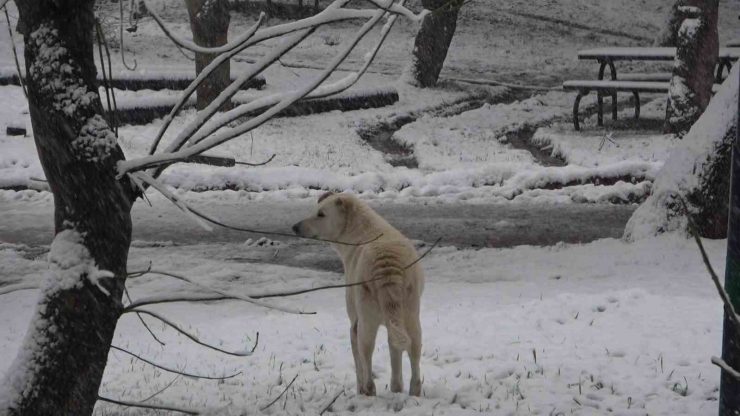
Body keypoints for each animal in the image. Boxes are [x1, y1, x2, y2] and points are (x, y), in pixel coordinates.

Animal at [292, 193, 424, 394]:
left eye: (321, 214)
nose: (295, 227)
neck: (358, 232)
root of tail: (388, 267)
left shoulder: (354, 322)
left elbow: (358, 359)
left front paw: (360, 389)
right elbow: (395, 353)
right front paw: (396, 389)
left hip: (366, 319)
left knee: (366, 355)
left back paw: (368, 391)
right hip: (411, 314)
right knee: (414, 353)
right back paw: (413, 392)